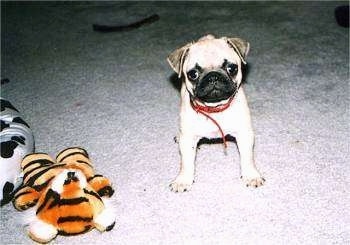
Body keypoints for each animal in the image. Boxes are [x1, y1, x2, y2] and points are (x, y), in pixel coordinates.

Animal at [168, 34, 264, 192]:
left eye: (232, 68)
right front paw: (183, 180)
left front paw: (251, 175)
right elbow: (187, 162)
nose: (213, 76)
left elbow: (247, 158)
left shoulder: (244, 134)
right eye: (193, 74)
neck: (214, 108)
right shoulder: (187, 140)